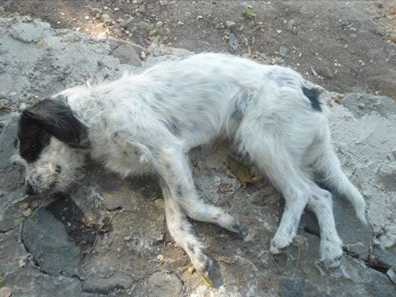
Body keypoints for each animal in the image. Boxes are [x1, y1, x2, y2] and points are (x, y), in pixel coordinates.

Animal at [16, 53, 368, 280]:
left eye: (31, 147)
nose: (28, 190)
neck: (95, 113)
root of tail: (310, 92)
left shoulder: (168, 150)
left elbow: (189, 204)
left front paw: (225, 221)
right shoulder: (164, 167)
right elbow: (176, 222)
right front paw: (197, 253)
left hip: (261, 140)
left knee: (302, 192)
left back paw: (284, 237)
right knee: (321, 195)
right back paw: (331, 249)